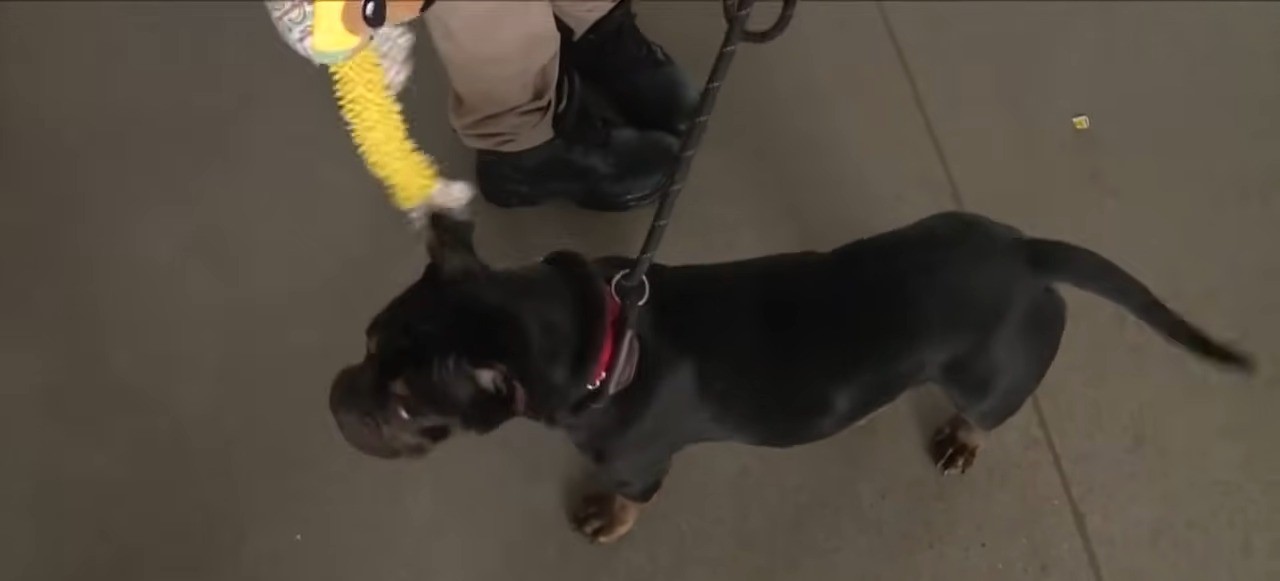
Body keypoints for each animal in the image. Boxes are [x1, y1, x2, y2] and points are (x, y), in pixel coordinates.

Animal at [327, 211, 1249, 542]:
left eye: (406, 408)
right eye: (365, 342)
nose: (336, 399)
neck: (595, 333)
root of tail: (1027, 253)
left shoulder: (639, 464)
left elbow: (626, 499)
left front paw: (605, 519)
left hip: (994, 378)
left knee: (989, 412)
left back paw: (962, 439)